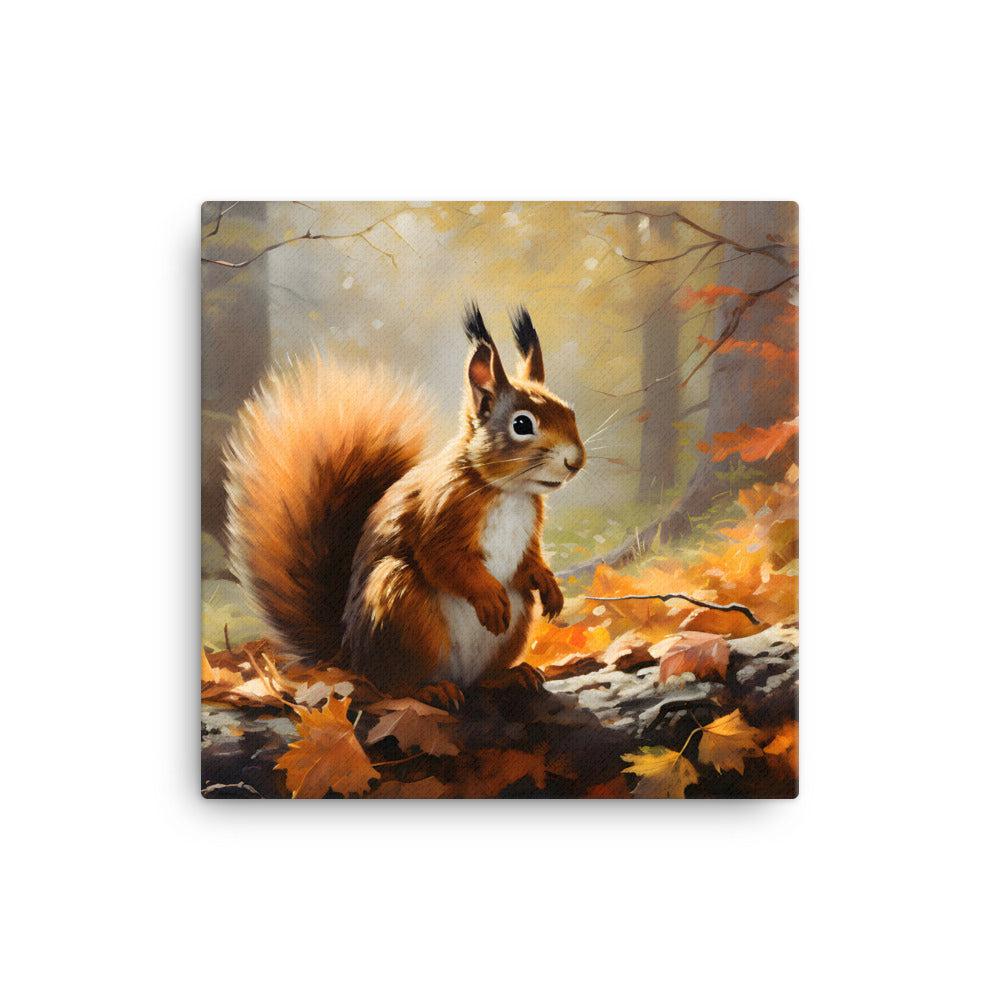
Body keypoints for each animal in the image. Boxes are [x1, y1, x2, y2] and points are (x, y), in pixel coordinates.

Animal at [224, 303, 585, 703]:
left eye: (570, 412)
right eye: (522, 424)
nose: (575, 461)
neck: (508, 492)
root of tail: (351, 656)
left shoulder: (530, 530)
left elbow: (530, 559)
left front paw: (549, 586)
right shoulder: (437, 513)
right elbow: (443, 559)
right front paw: (488, 596)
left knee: (479, 678)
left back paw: (509, 675)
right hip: (400, 602)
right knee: (394, 685)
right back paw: (431, 689)